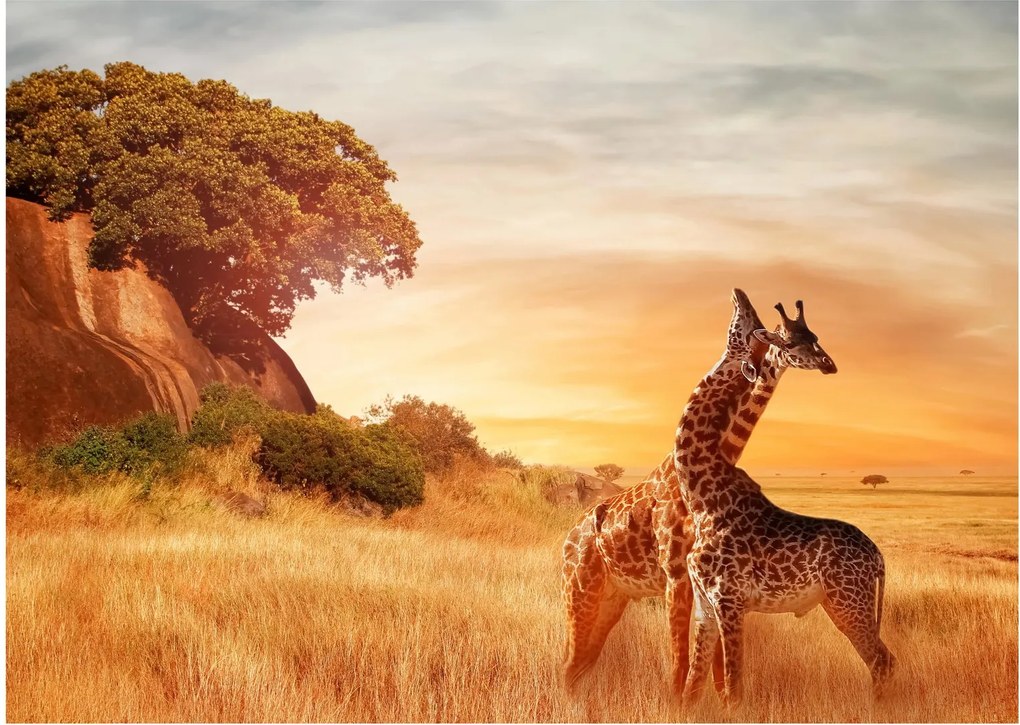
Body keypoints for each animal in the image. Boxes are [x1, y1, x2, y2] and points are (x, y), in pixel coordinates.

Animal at [561, 289, 833, 694]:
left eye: (812, 336)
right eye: (785, 337)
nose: (828, 364)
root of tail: (568, 539)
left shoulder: (707, 581)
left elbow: (712, 665)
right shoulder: (677, 574)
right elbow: (682, 661)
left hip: (613, 596)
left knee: (581, 662)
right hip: (580, 590)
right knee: (570, 662)